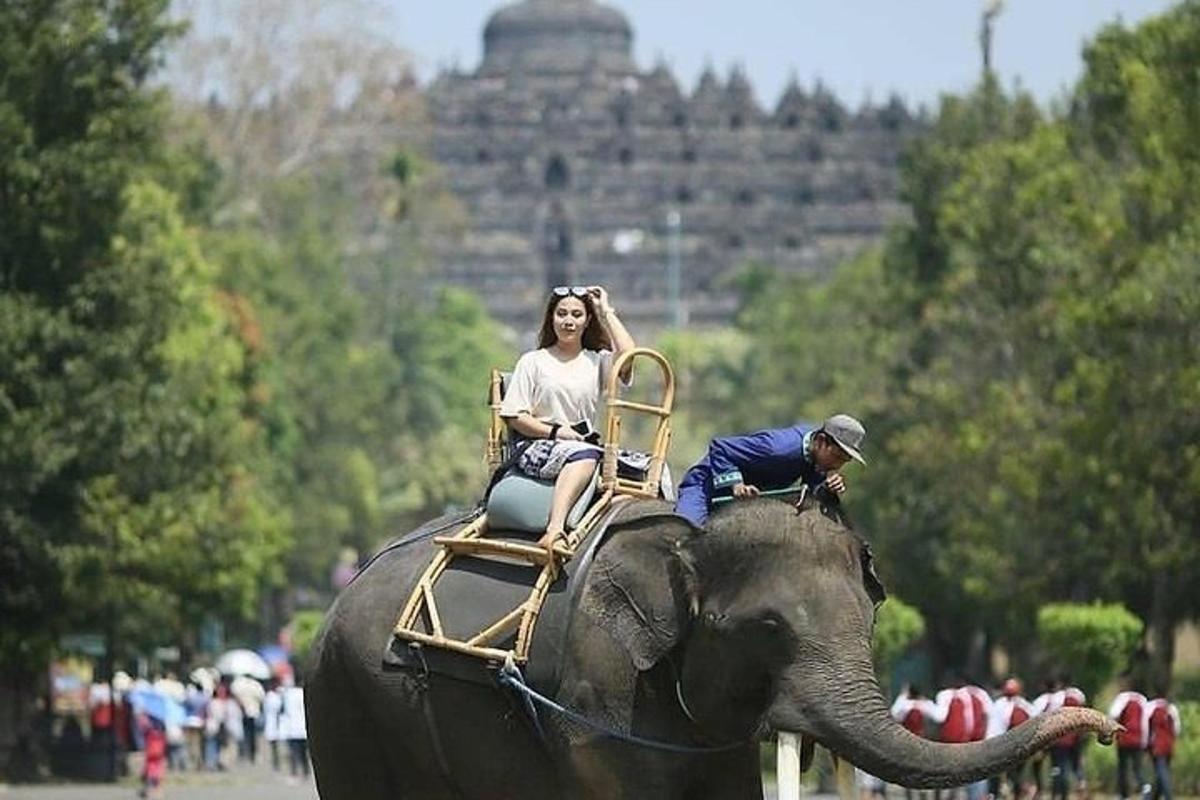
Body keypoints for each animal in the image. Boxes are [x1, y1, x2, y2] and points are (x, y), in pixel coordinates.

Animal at [307, 494, 1113, 800]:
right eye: (768, 629)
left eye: (872, 621)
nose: (1105, 726)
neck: (685, 538)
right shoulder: (596, 699)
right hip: (341, 700)